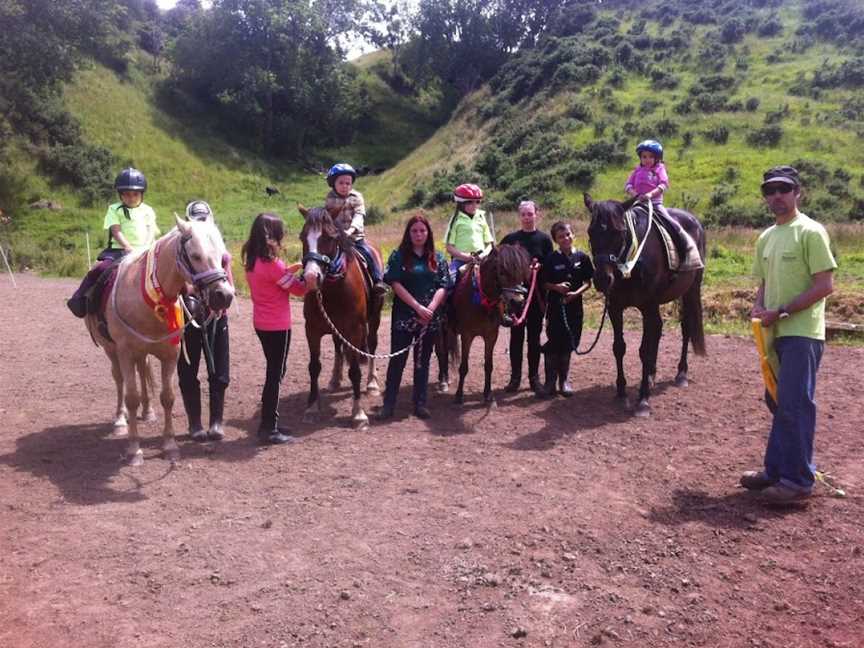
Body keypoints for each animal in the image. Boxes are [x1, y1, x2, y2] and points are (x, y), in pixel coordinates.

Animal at [85, 218, 233, 466]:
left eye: (222, 255)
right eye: (195, 255)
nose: (224, 295)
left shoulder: (170, 354)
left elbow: (168, 397)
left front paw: (170, 446)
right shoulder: (125, 352)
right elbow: (131, 397)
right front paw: (134, 450)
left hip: (141, 353)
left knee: (143, 372)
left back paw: (148, 411)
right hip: (111, 350)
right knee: (119, 380)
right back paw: (120, 420)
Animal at [298, 209, 384, 430]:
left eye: (329, 237)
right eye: (302, 237)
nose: (311, 277)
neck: (334, 288)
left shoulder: (355, 331)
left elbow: (355, 371)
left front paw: (358, 414)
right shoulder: (312, 330)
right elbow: (314, 367)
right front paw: (312, 407)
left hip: (374, 319)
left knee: (372, 345)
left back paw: (372, 383)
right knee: (338, 347)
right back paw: (335, 379)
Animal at [446, 244, 532, 404]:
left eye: (521, 272)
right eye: (502, 272)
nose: (518, 302)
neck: (481, 298)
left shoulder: (491, 335)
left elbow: (488, 365)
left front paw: (488, 395)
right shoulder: (467, 335)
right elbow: (464, 367)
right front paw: (459, 395)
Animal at [584, 192, 704, 418]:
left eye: (620, 232)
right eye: (590, 232)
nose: (602, 279)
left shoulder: (648, 307)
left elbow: (645, 351)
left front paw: (643, 401)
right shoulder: (615, 308)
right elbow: (619, 347)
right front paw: (622, 393)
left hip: (690, 290)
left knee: (686, 327)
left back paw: (681, 374)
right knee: (658, 330)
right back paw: (652, 376)